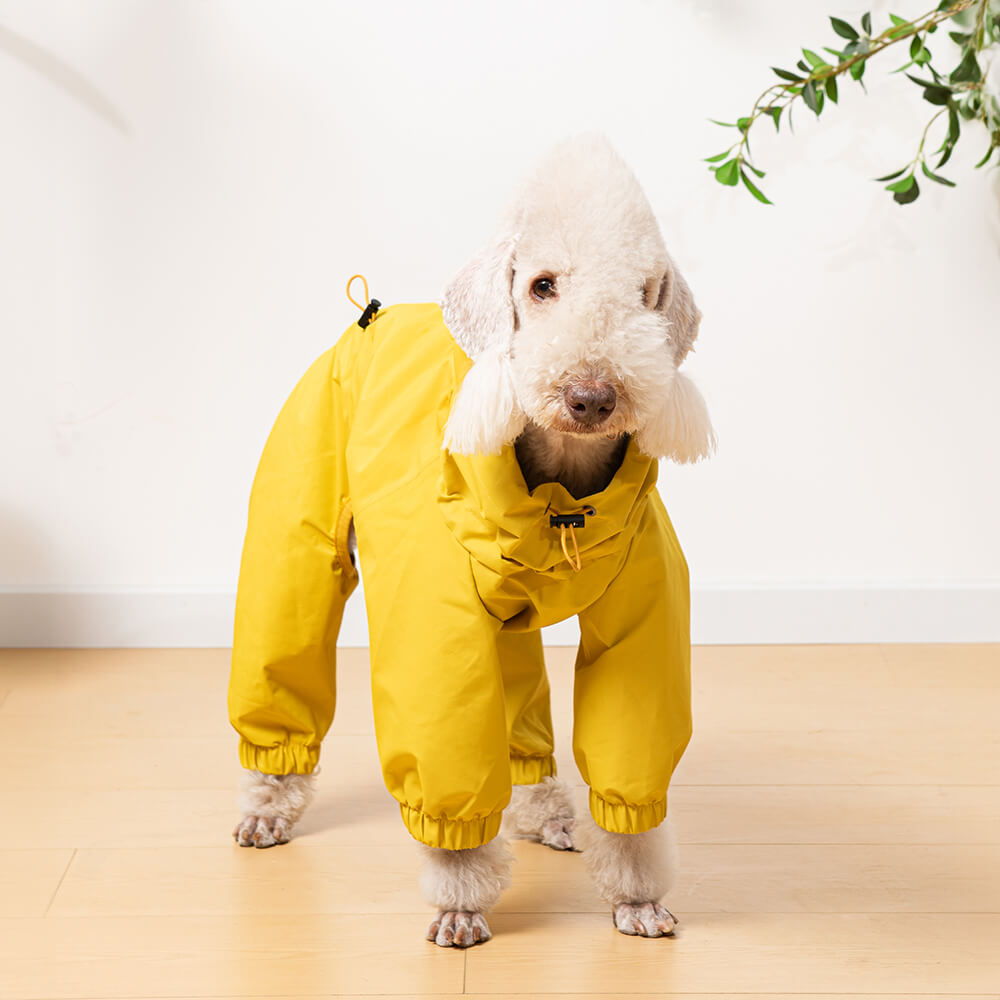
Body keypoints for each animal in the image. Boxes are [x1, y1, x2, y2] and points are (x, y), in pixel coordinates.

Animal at [229, 133, 712, 944]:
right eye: (542, 286)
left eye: (645, 294)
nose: (591, 397)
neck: (559, 495)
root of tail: (373, 312)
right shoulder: (437, 629)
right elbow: (447, 750)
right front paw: (459, 901)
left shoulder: (643, 622)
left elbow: (632, 752)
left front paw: (636, 897)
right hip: (297, 521)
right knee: (282, 652)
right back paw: (267, 805)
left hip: (509, 630)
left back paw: (546, 814)